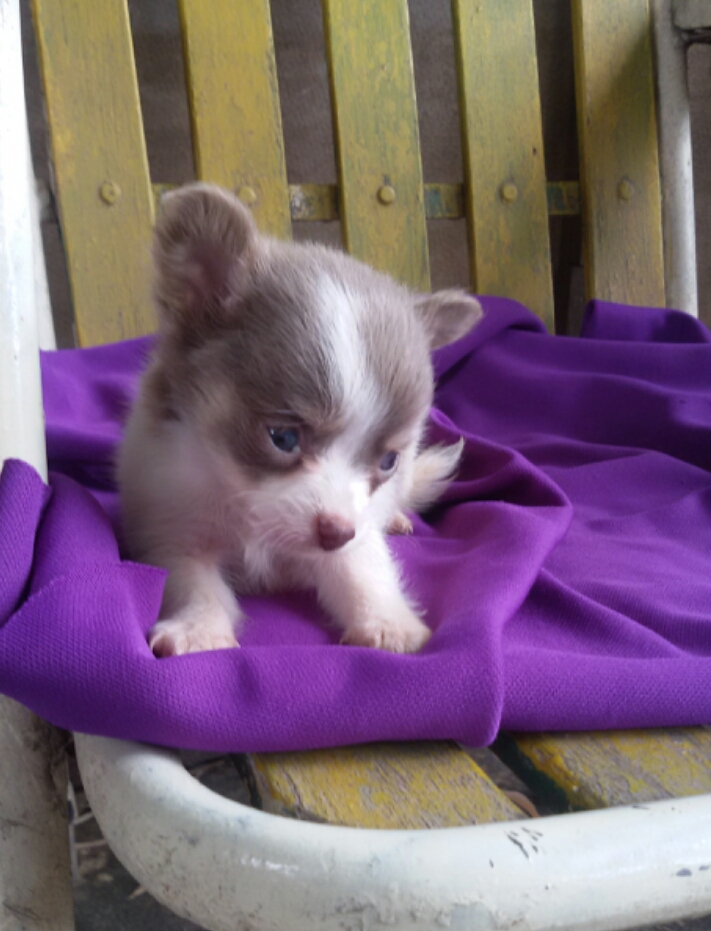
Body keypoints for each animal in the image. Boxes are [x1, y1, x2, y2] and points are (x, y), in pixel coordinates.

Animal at [117, 183, 481, 656]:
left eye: (388, 462)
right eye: (284, 439)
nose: (335, 531)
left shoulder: (354, 533)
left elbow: (362, 568)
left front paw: (387, 623)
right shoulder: (172, 530)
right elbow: (193, 581)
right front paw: (200, 629)